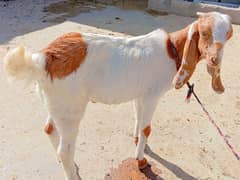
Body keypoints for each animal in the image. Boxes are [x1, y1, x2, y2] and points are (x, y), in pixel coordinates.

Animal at [3, 11, 232, 179]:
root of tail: (44, 59)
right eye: (204, 32)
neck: (173, 48)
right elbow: (148, 128)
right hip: (71, 109)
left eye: (228, 37)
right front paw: (141, 161)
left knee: (49, 128)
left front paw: (138, 142)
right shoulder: (152, 95)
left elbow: (139, 118)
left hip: (57, 103)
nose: (214, 60)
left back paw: (71, 166)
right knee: (65, 149)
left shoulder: (141, 95)